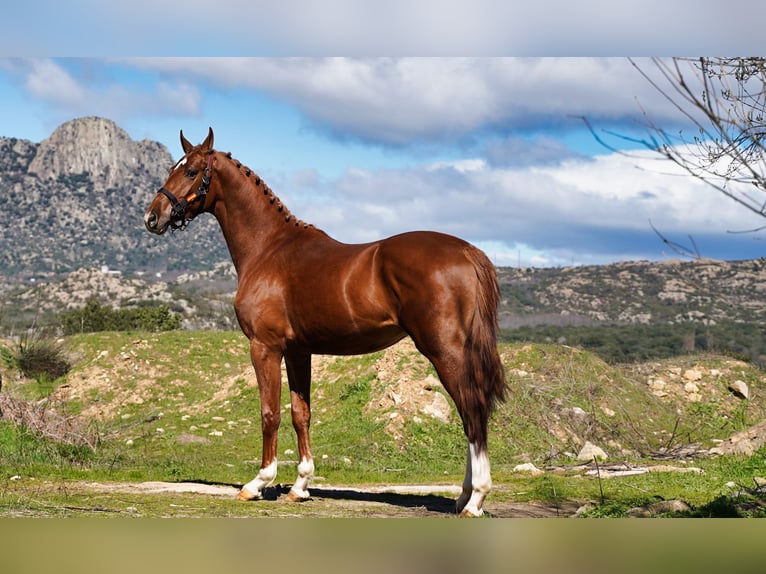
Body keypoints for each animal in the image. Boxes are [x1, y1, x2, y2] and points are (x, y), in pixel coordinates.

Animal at [143, 128, 507, 516]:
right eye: (173, 167)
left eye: (192, 171)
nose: (153, 217)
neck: (268, 249)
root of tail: (467, 251)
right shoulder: (298, 352)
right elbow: (300, 414)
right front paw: (300, 486)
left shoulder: (264, 347)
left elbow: (269, 413)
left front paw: (258, 483)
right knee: (470, 413)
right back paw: (464, 496)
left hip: (443, 350)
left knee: (472, 410)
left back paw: (476, 499)